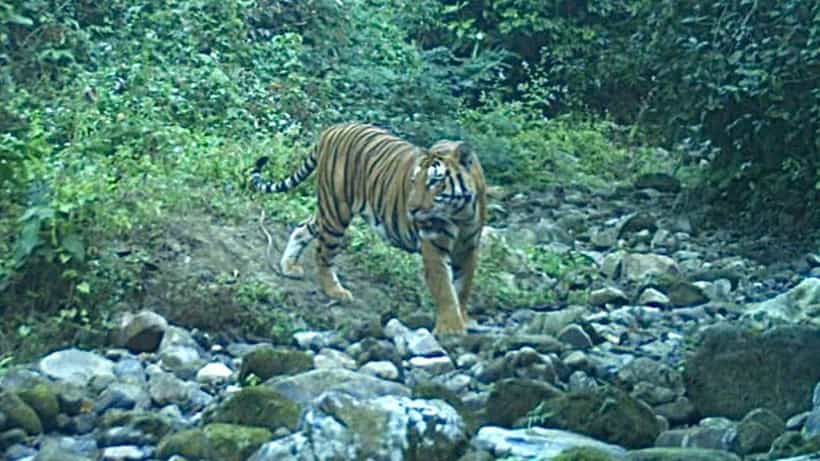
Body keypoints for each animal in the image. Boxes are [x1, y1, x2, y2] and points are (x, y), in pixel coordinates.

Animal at [250, 123, 487, 335]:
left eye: (434, 181)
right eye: (413, 181)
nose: (411, 209)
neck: (460, 213)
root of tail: (331, 130)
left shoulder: (469, 248)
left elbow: (463, 287)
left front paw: (463, 319)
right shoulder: (434, 244)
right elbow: (445, 288)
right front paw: (451, 328)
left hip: (327, 213)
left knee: (302, 228)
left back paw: (289, 266)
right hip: (336, 210)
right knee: (323, 254)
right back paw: (335, 291)